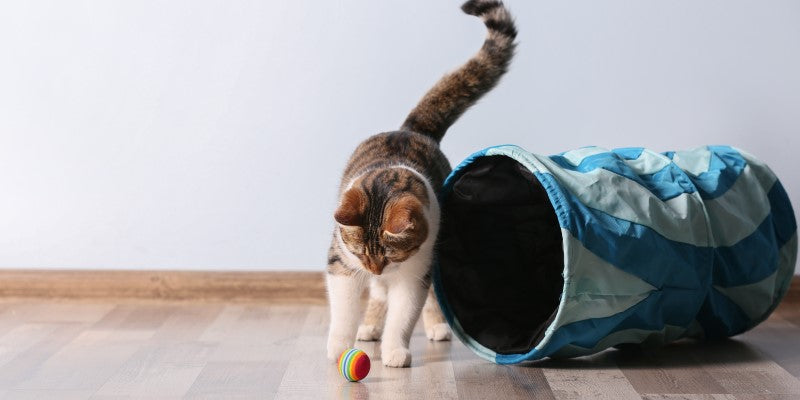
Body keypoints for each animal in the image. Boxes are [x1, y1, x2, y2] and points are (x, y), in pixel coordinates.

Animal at [324, 0, 520, 368]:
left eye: (390, 254)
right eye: (360, 252)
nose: (375, 268)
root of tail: (411, 129)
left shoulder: (415, 270)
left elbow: (405, 312)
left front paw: (395, 351)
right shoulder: (342, 263)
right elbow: (343, 308)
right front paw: (340, 347)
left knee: (424, 296)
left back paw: (436, 327)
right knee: (377, 295)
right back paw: (369, 326)